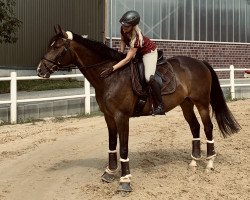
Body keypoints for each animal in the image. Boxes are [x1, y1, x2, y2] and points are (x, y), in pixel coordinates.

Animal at [36, 25, 240, 192]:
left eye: (56, 47)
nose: (40, 71)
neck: (110, 75)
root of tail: (200, 62)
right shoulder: (108, 117)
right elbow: (112, 144)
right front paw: (109, 173)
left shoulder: (121, 117)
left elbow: (124, 148)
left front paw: (125, 181)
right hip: (186, 103)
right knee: (195, 127)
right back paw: (194, 162)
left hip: (201, 102)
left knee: (208, 127)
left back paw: (209, 163)